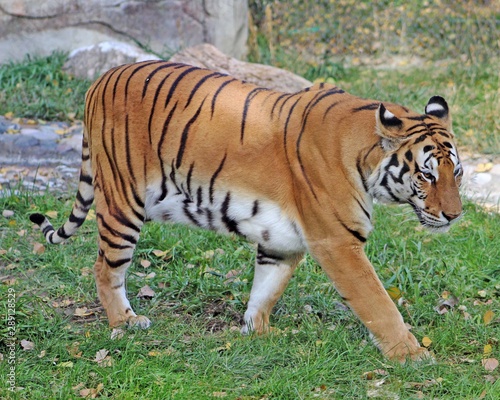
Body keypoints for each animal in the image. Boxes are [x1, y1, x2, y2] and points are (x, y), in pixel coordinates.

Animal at [29, 60, 462, 362]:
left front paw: (259, 332)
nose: (455, 216)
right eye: (426, 175)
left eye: (455, 173)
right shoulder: (338, 242)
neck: (364, 158)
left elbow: (266, 288)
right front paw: (412, 356)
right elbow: (378, 304)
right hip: (122, 203)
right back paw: (124, 322)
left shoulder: (284, 240)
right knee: (105, 268)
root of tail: (101, 79)